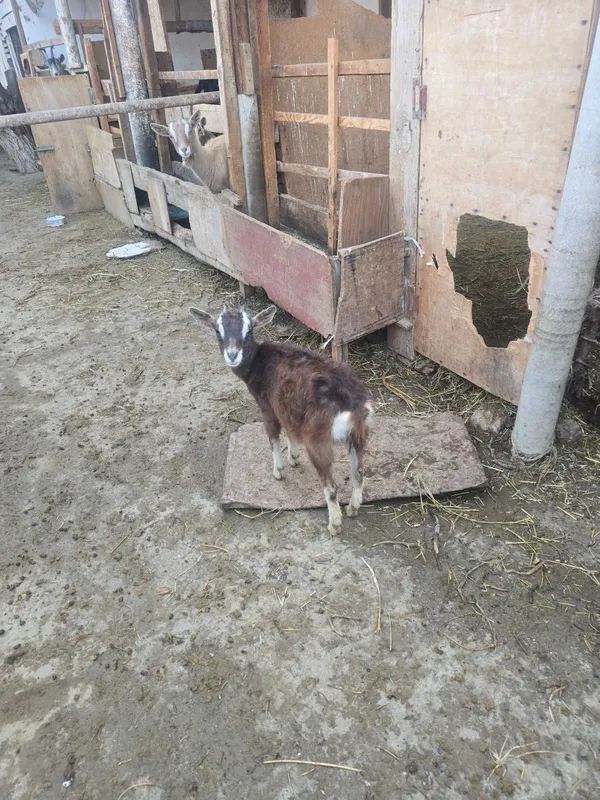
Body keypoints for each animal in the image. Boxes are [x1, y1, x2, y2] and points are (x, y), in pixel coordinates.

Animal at [190, 305, 373, 535]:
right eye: (217, 330)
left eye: (248, 331)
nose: (232, 355)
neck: (258, 363)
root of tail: (352, 403)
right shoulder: (287, 408)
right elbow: (290, 429)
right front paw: (293, 457)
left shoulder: (267, 405)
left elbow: (273, 437)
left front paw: (278, 470)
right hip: (359, 433)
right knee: (359, 472)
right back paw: (353, 508)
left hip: (318, 440)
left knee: (331, 487)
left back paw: (334, 524)